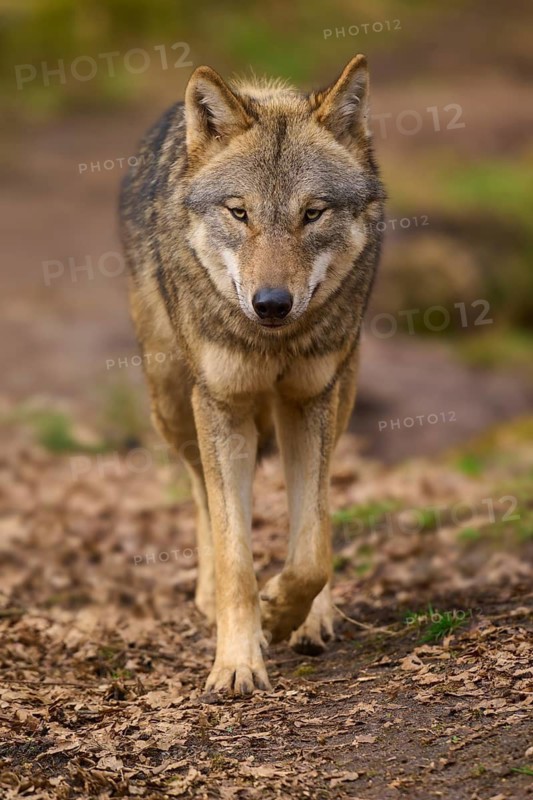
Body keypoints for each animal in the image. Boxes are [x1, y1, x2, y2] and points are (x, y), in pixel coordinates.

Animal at [119, 55, 385, 695]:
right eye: (239, 212)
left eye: (312, 213)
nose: (271, 304)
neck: (272, 346)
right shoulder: (221, 405)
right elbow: (235, 551)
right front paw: (237, 663)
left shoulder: (311, 400)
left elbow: (312, 547)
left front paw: (286, 612)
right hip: (173, 402)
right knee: (200, 494)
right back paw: (209, 597)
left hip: (340, 391)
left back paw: (312, 619)